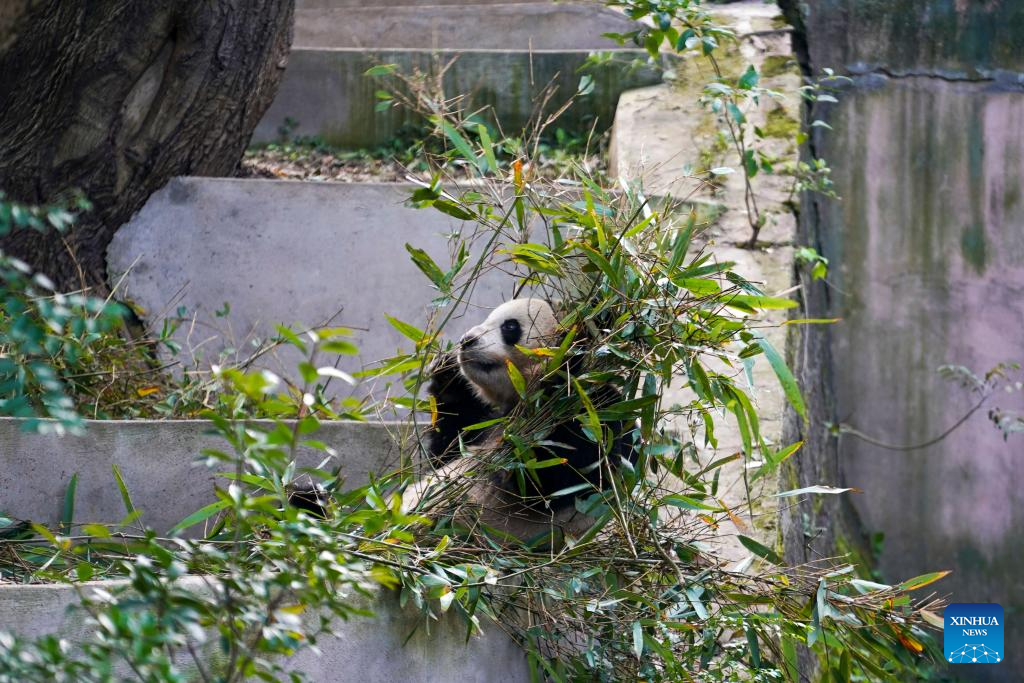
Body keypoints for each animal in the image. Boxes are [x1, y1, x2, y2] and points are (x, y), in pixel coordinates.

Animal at [401, 296, 634, 540]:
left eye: (510, 326)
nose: (466, 340)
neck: (519, 399)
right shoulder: (485, 422)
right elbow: (445, 451)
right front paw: (448, 373)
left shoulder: (597, 410)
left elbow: (555, 478)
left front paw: (570, 349)